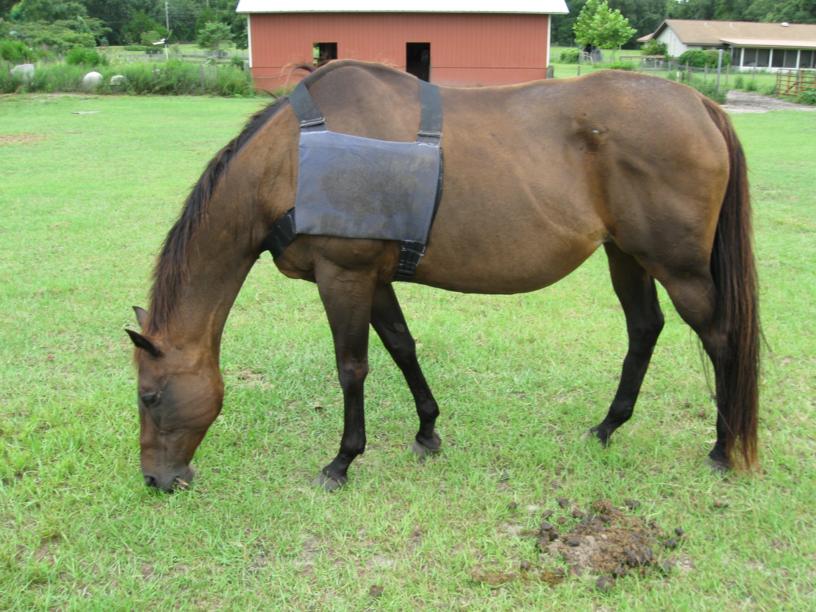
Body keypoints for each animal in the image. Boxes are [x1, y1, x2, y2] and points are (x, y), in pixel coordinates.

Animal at [126, 60, 759, 493]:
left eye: (149, 396)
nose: (158, 481)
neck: (293, 158)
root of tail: (700, 104)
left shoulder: (344, 274)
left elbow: (352, 368)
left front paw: (343, 460)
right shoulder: (375, 278)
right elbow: (402, 346)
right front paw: (427, 431)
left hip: (678, 267)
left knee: (721, 338)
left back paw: (722, 448)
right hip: (626, 254)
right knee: (644, 329)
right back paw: (608, 427)